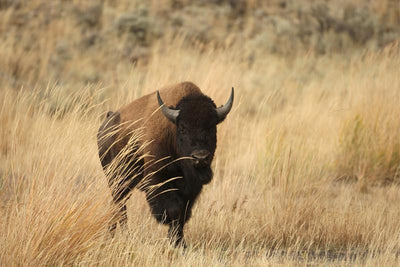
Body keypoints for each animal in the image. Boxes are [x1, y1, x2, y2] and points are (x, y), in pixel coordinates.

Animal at [97, 81, 234, 247]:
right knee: (120, 205)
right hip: (118, 180)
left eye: (212, 127)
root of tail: (107, 122)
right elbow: (174, 210)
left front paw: (179, 243)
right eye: (182, 128)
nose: (200, 157)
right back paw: (122, 234)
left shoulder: (191, 189)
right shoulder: (157, 181)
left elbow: (183, 214)